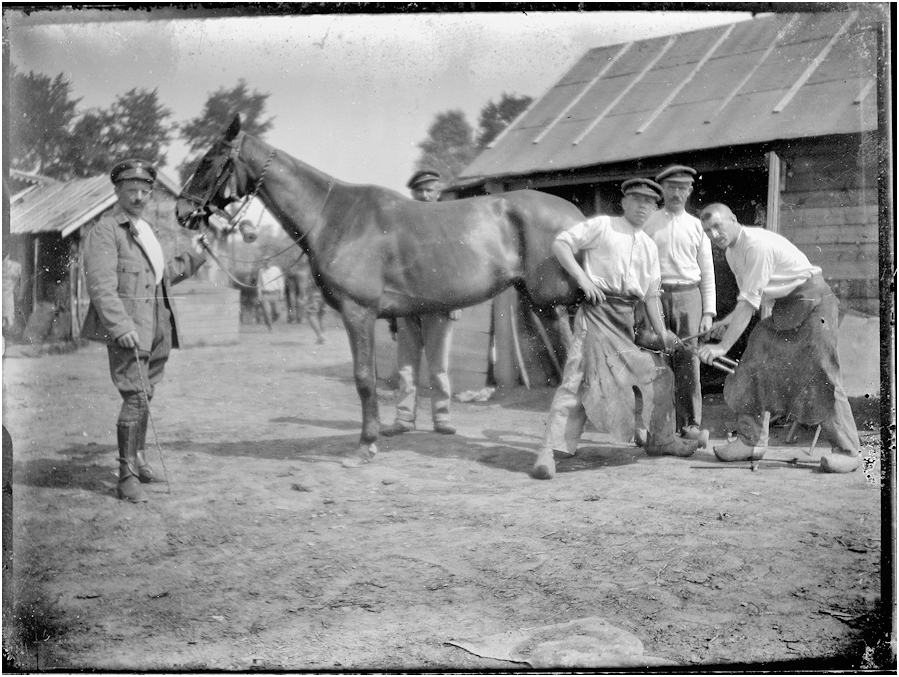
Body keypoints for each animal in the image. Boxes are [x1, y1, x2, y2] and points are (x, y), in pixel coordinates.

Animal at [178, 115, 584, 464]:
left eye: (210, 160)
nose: (182, 212)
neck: (331, 216)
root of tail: (577, 217)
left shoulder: (357, 311)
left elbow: (363, 379)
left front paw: (365, 446)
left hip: (556, 304)